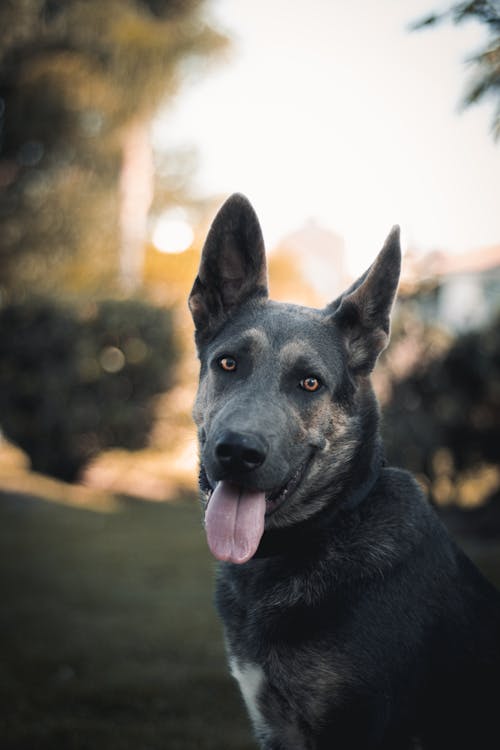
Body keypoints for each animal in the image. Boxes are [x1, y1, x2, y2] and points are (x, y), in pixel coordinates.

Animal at [188, 195, 500, 750]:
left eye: (310, 383)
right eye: (227, 364)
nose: (237, 452)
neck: (327, 527)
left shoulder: (356, 726)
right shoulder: (276, 726)